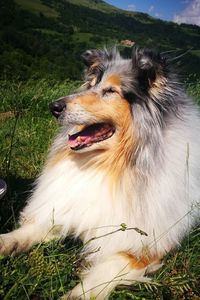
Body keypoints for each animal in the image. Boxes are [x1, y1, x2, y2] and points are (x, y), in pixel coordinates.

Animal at [0, 47, 200, 298]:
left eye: (110, 91)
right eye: (92, 85)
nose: (54, 107)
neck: (110, 165)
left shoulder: (146, 245)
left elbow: (109, 268)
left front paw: (77, 294)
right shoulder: (68, 212)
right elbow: (35, 229)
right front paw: (5, 242)